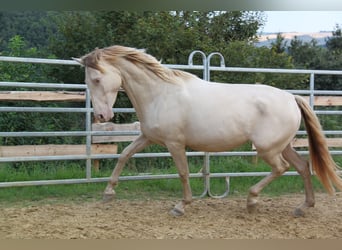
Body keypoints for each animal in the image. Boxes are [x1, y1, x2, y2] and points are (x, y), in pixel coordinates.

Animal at [74, 45, 342, 217]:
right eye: (88, 82)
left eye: (96, 79)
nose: (102, 116)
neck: (160, 94)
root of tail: (291, 98)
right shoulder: (148, 137)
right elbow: (124, 155)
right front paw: (108, 193)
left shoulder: (174, 143)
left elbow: (182, 173)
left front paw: (181, 206)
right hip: (282, 146)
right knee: (302, 167)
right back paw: (303, 207)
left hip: (268, 149)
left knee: (281, 168)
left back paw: (252, 201)